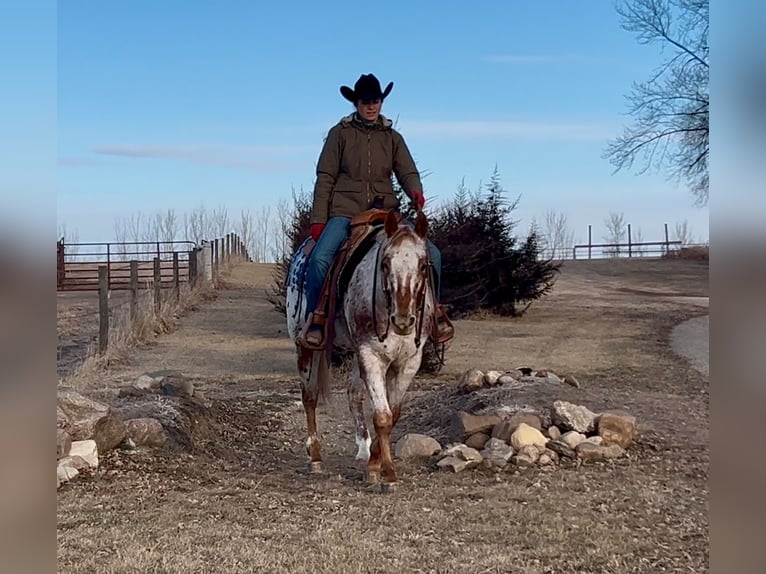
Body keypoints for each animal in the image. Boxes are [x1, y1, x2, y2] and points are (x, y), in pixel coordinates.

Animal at [286, 209, 438, 492]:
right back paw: (315, 457)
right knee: (309, 397)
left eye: (423, 265)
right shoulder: (371, 354)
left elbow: (393, 413)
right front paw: (388, 474)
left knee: (353, 395)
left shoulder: (409, 361)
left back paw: (363, 448)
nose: (403, 321)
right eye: (385, 264)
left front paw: (374, 464)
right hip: (304, 346)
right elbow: (382, 416)